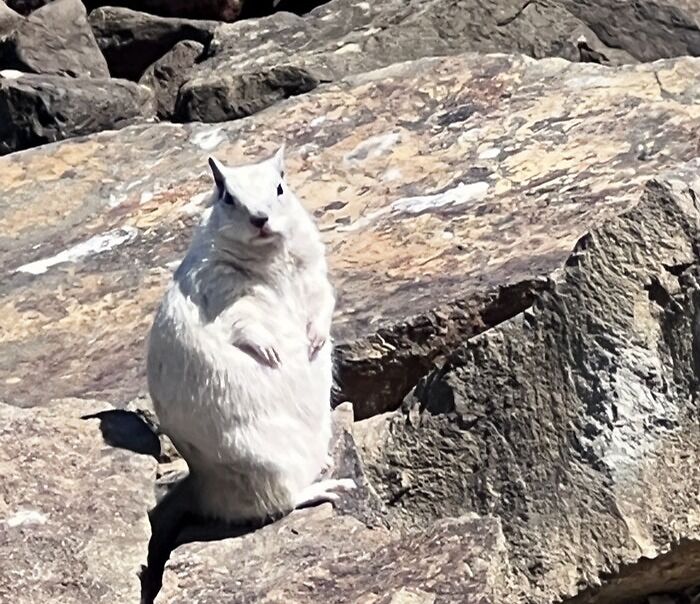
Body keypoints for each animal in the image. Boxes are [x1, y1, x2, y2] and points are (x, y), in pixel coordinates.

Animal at [147, 145, 356, 524]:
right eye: (227, 196)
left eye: (280, 187)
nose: (260, 219)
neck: (268, 256)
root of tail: (206, 492)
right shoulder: (221, 291)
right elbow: (243, 323)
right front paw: (272, 351)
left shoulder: (314, 272)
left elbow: (323, 301)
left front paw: (315, 340)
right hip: (268, 462)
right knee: (281, 501)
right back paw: (327, 487)